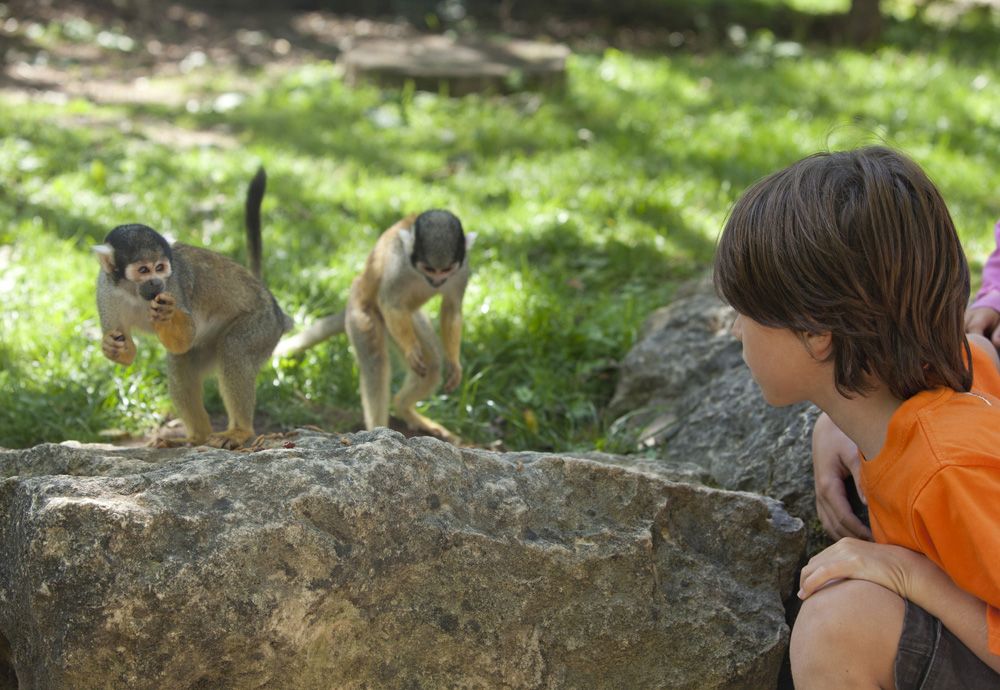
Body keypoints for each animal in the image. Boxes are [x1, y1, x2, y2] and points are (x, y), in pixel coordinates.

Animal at [93, 169, 292, 448]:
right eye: (143, 270)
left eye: (160, 268)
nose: (156, 283)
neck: (133, 292)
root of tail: (275, 308)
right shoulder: (105, 289)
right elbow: (130, 352)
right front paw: (112, 346)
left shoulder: (174, 284)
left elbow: (183, 339)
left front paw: (166, 316)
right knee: (182, 363)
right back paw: (197, 437)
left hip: (263, 326)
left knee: (234, 349)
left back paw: (240, 431)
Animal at [276, 210, 474, 444]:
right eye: (429, 269)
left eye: (446, 270)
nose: (437, 282)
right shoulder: (398, 264)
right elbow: (391, 302)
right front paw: (410, 350)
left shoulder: (461, 269)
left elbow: (452, 309)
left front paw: (454, 363)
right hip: (360, 311)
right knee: (376, 363)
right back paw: (379, 429)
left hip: (407, 320)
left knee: (432, 365)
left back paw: (403, 407)